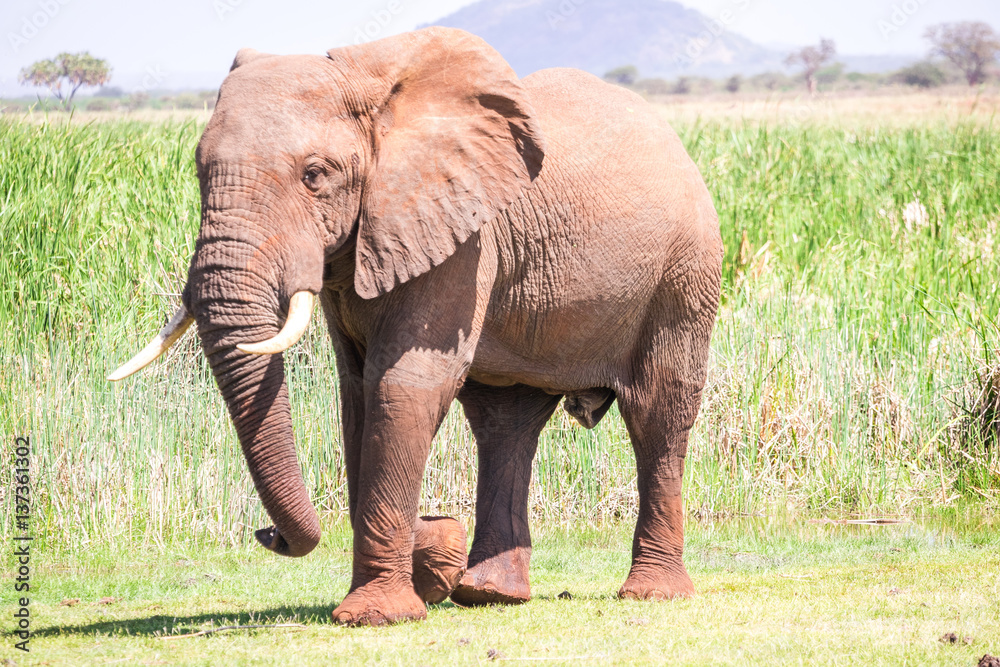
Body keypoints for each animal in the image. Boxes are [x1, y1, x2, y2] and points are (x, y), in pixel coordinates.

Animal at [109, 27, 722, 626]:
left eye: (314, 175)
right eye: (197, 169)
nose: (269, 534)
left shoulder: (461, 237)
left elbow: (404, 384)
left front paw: (376, 615)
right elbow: (358, 392)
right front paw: (425, 571)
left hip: (684, 272)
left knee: (657, 412)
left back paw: (651, 594)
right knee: (506, 423)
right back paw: (487, 593)